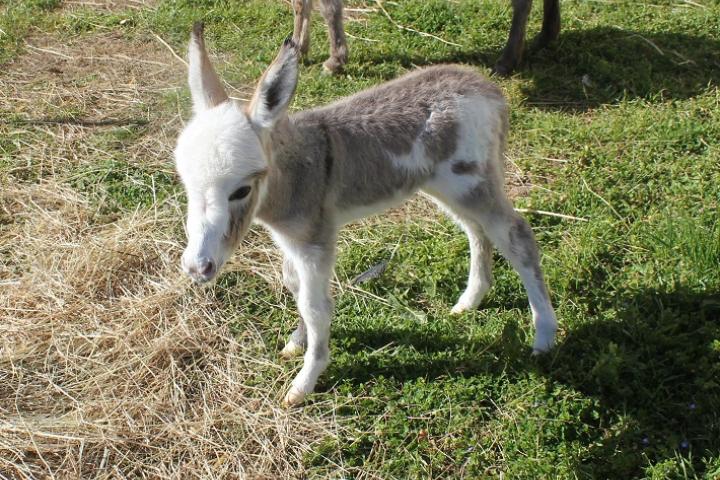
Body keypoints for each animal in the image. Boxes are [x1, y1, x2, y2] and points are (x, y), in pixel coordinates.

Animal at [173, 21, 556, 404]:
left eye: (241, 190)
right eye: (186, 184)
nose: (196, 268)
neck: (296, 170)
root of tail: (487, 88)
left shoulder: (315, 239)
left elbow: (315, 306)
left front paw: (305, 381)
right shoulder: (291, 237)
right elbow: (294, 285)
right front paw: (297, 342)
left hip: (472, 180)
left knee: (516, 237)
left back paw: (544, 337)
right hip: (447, 187)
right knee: (477, 231)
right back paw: (470, 300)